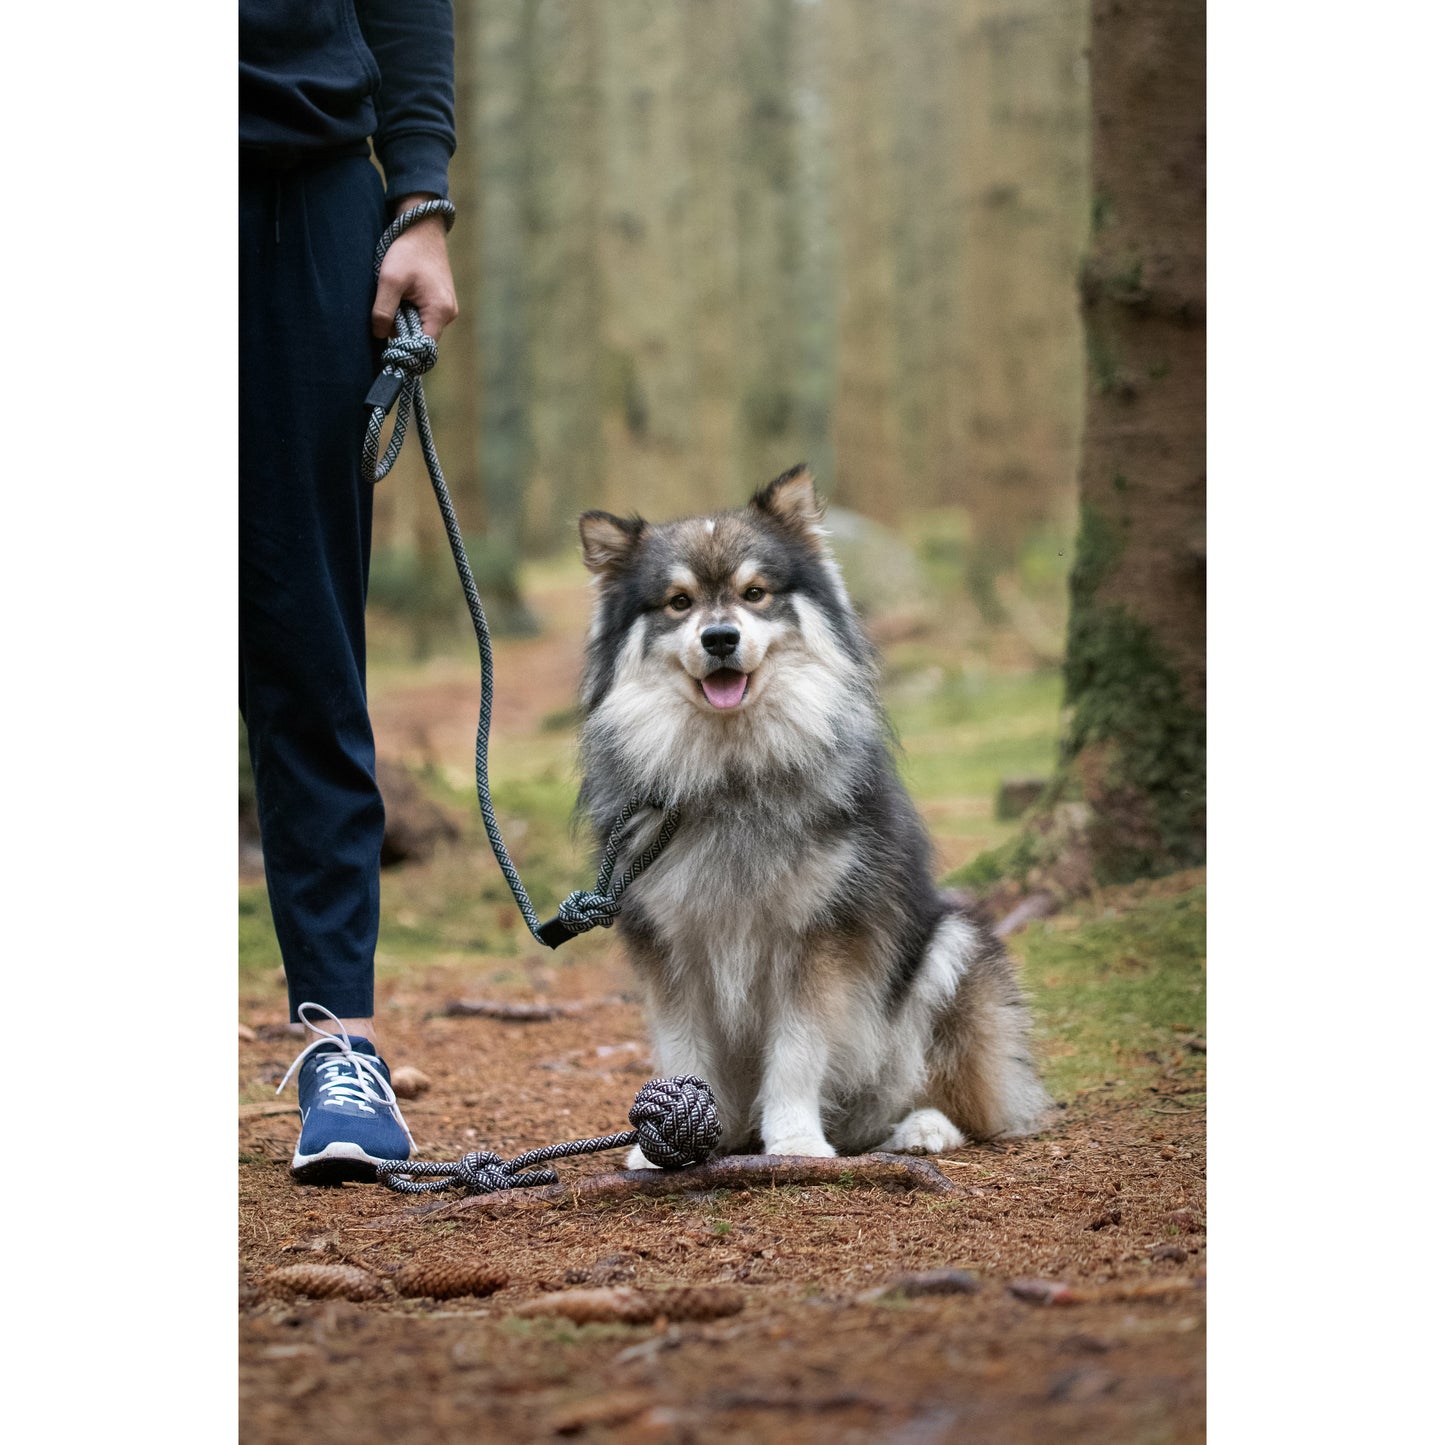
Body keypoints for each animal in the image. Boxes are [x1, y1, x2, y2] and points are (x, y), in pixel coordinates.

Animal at [575, 468, 1051, 1167]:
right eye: (679, 603)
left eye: (755, 593)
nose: (721, 638)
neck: (731, 778)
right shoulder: (671, 946)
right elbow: (680, 1050)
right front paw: (663, 1143)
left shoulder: (815, 939)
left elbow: (797, 1052)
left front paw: (796, 1139)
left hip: (953, 946)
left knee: (964, 1104)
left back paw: (924, 1128)